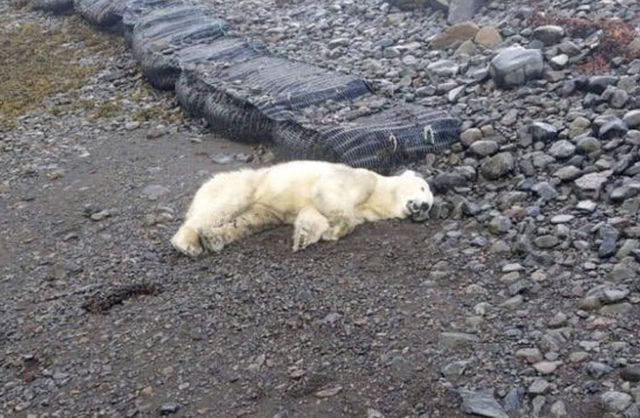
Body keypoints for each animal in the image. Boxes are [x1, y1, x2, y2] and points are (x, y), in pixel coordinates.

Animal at [170, 162, 436, 256]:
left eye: (431, 204)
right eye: (423, 188)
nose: (424, 207)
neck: (378, 196)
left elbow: (312, 214)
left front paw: (305, 237)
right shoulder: (359, 179)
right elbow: (330, 195)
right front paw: (335, 229)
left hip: (263, 209)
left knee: (249, 221)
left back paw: (213, 239)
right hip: (244, 185)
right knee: (224, 206)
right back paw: (187, 244)